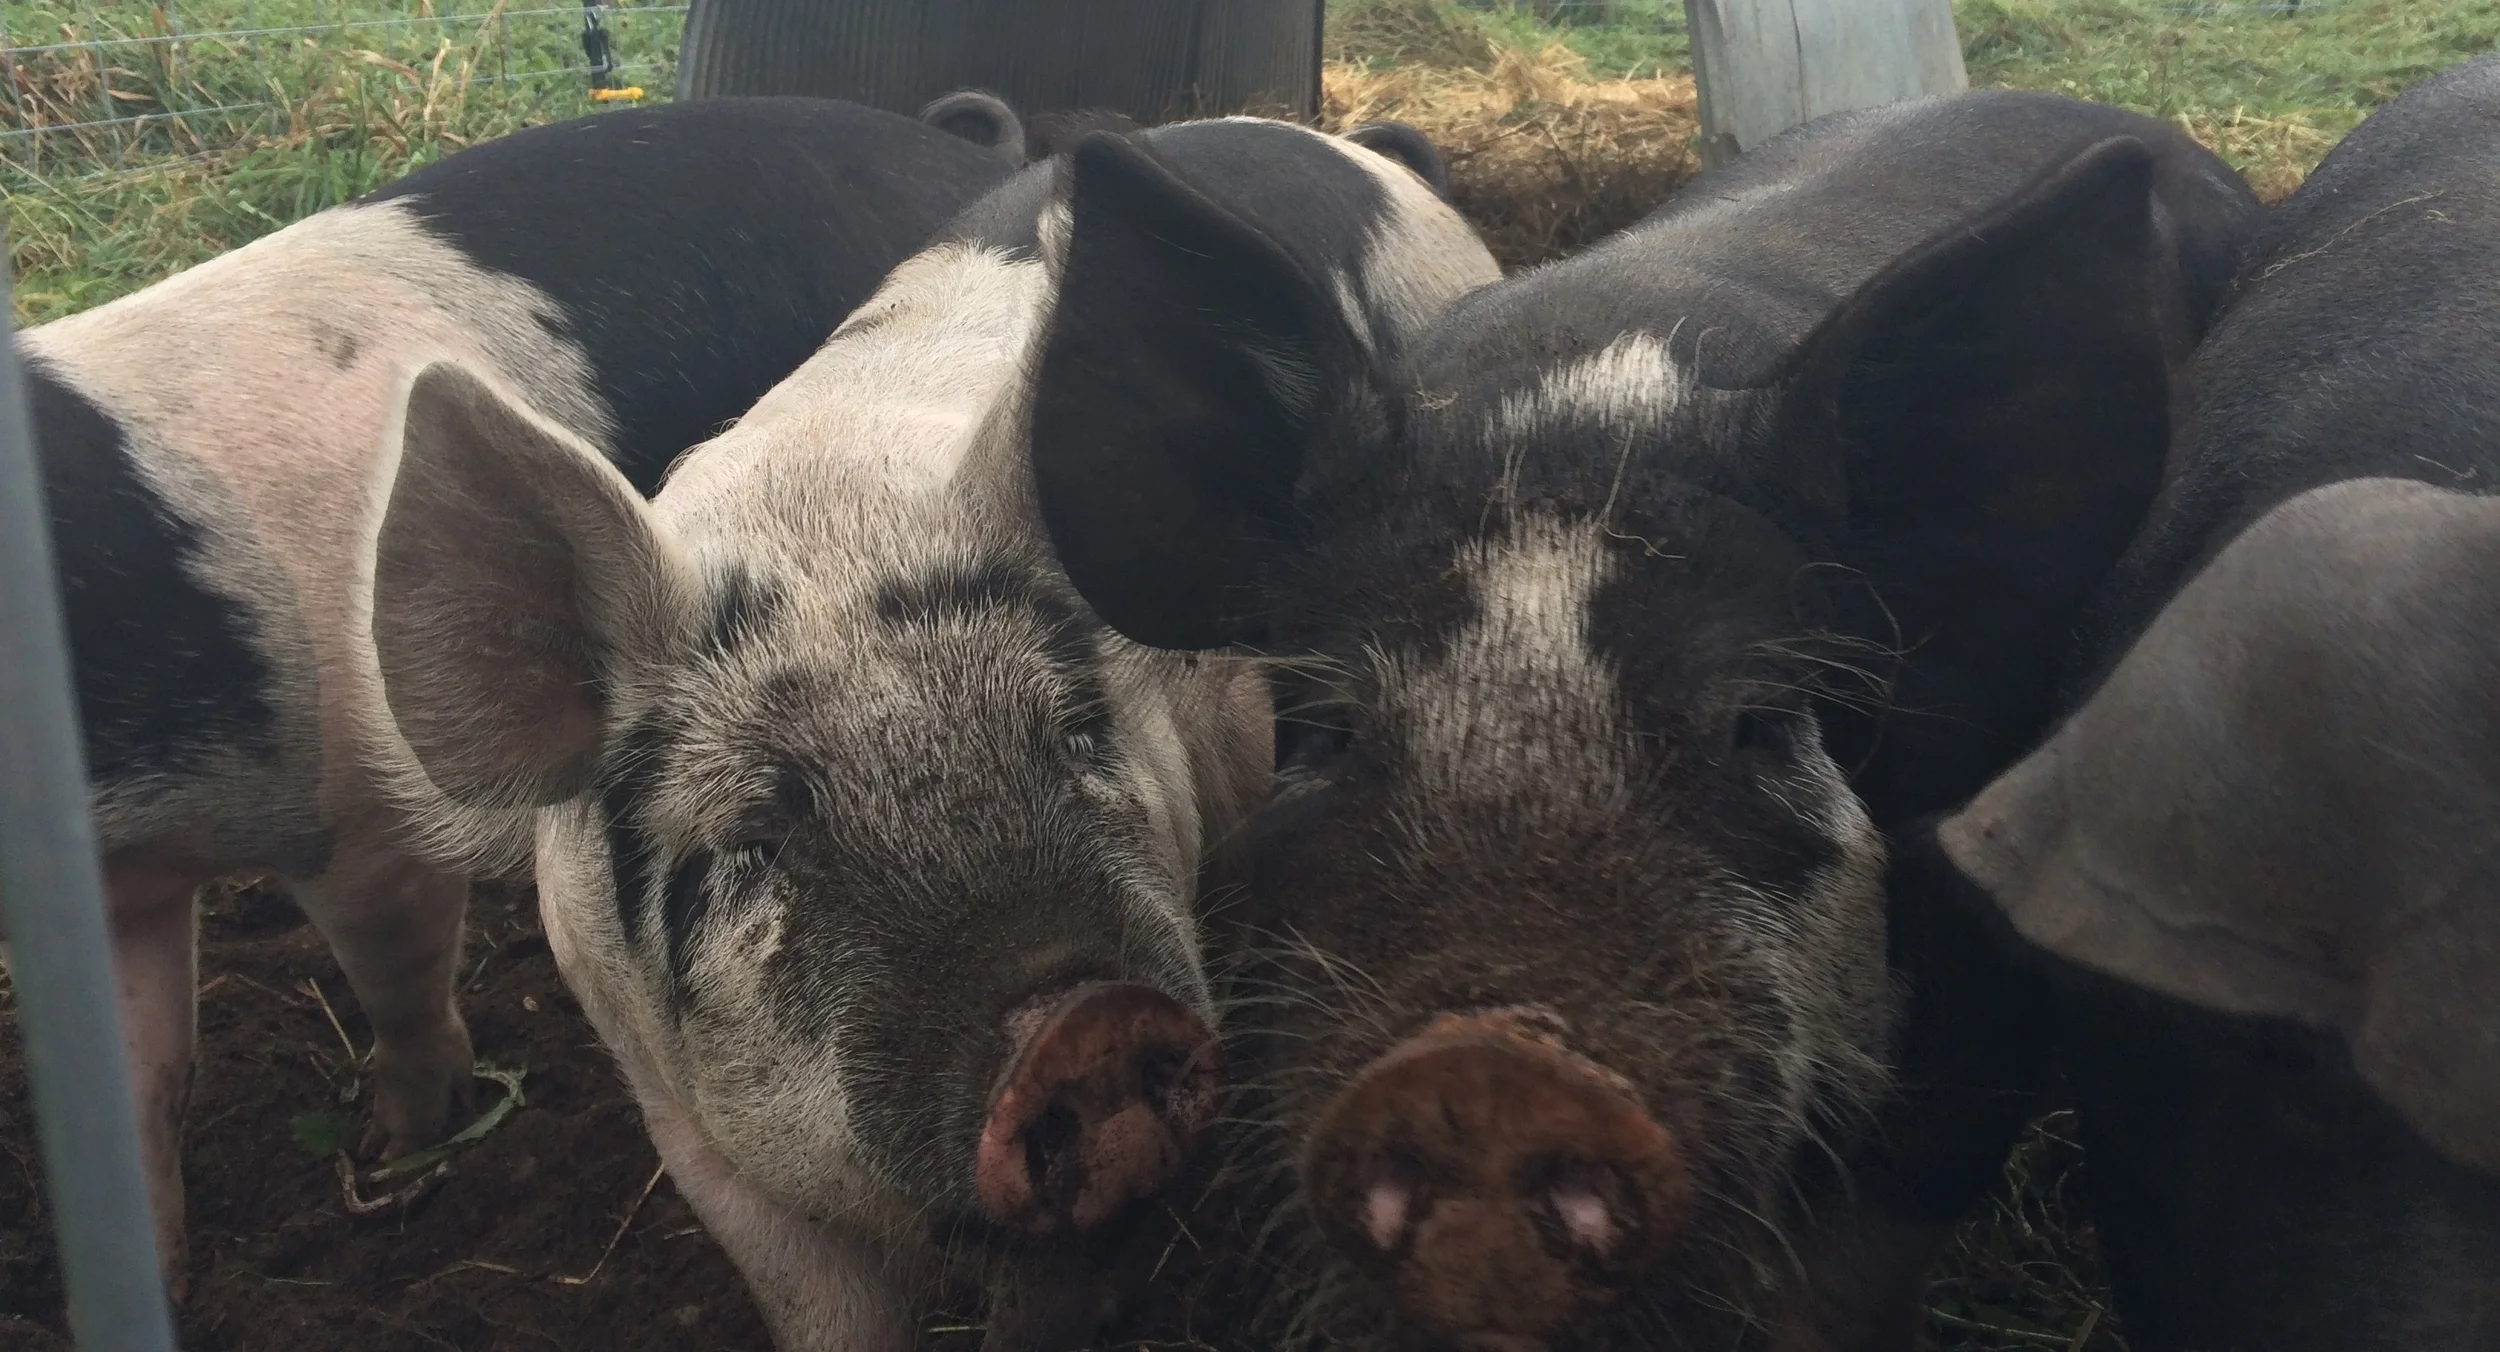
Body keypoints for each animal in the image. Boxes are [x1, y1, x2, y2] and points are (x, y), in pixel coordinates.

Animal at [11, 93, 1021, 1295]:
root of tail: (953, 144)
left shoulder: (359, 810)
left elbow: (397, 976)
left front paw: (397, 1146)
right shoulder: (130, 888)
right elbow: (140, 1081)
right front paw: (155, 1275)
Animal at [361, 117, 1498, 1350]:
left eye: (1075, 739)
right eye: (752, 842)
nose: (1083, 1021)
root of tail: (1353, 146)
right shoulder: (677, 1113)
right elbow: (820, 1305)